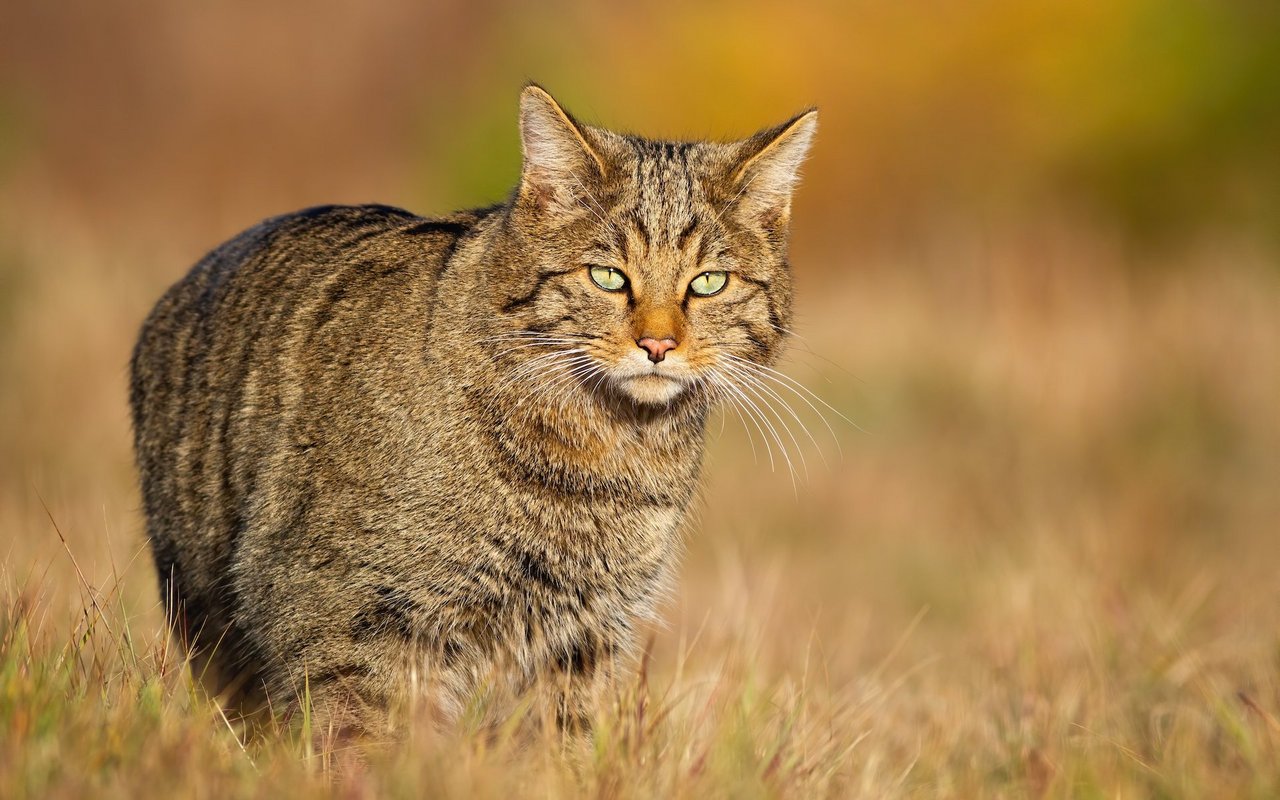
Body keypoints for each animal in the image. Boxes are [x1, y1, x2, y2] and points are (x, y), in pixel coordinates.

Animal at [127, 84, 808, 732]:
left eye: (708, 283)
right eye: (608, 277)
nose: (658, 345)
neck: (606, 453)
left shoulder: (587, 635)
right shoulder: (348, 617)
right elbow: (363, 746)